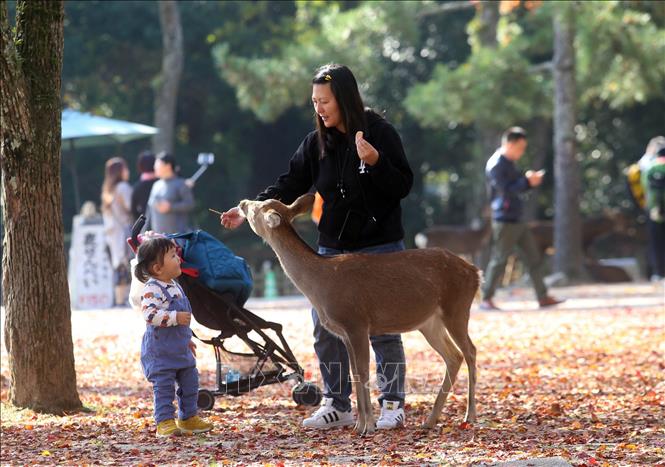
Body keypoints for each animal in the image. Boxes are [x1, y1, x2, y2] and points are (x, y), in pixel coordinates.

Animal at [237, 193, 478, 436]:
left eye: (258, 208)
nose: (242, 203)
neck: (320, 283)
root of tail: (475, 272)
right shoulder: (344, 332)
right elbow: (353, 372)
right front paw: (358, 425)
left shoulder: (356, 322)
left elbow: (362, 372)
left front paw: (367, 426)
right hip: (429, 322)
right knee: (453, 356)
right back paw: (430, 420)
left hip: (457, 308)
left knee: (470, 351)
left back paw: (470, 416)